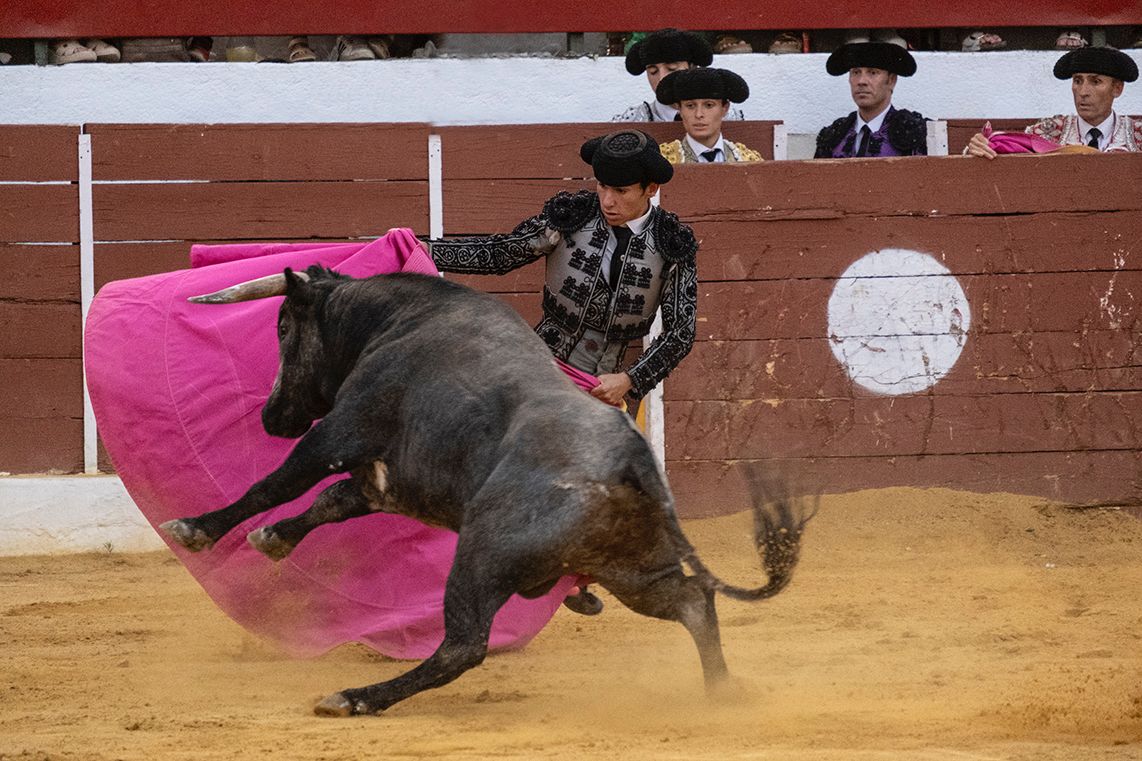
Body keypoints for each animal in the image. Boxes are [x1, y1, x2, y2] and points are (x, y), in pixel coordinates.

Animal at [159, 265, 812, 717]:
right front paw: (272, 540)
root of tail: (636, 463)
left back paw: (356, 697)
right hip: (633, 571)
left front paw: (195, 529)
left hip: (484, 551)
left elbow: (279, 481)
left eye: (282, 327)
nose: (271, 418)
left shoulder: (343, 429)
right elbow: (330, 501)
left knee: (465, 645)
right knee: (692, 602)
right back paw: (723, 692)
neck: (396, 321)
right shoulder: (389, 480)